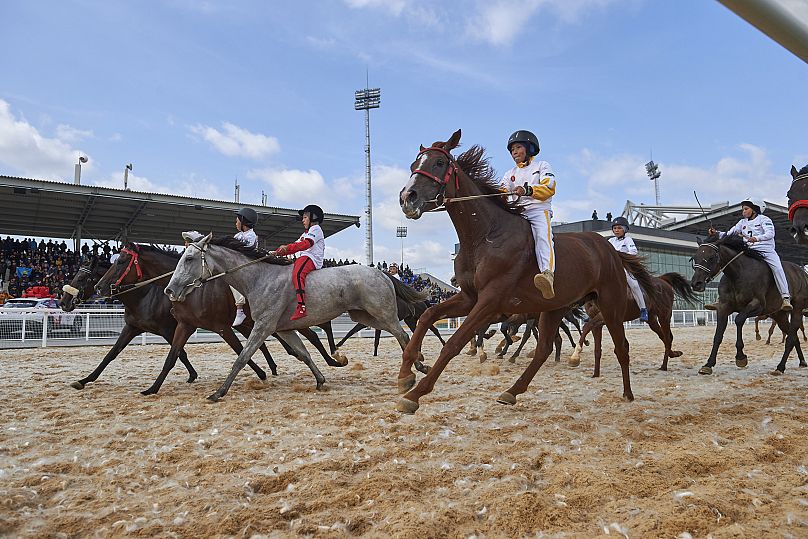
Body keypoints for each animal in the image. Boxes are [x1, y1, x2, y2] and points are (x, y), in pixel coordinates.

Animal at [60, 253, 274, 392]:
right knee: (260, 344)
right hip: (244, 323)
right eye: (75, 274)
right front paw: (85, 380)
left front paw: (192, 375)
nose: (63, 302)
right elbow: (111, 354)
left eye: (82, 277)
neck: (144, 294)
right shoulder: (132, 327)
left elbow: (180, 353)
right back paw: (271, 367)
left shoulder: (168, 329)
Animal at [91, 247, 340, 394]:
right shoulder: (182, 325)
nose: (99, 287)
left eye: (121, 261)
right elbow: (170, 356)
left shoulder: (221, 328)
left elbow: (240, 351)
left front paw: (258, 373)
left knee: (315, 335)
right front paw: (152, 387)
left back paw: (334, 359)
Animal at [164, 234, 430, 402]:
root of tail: (382, 273)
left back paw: (416, 368)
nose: (170, 290)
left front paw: (218, 392)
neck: (259, 278)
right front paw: (321, 379)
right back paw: (419, 362)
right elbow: (303, 354)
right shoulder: (283, 329)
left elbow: (241, 358)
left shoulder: (263, 327)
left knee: (402, 333)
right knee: (399, 334)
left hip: (383, 313)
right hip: (366, 316)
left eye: (189, 258)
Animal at [394, 131, 664, 414]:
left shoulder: (490, 301)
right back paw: (512, 391)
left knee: (621, 346)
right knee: (544, 348)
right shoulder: (469, 297)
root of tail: (609, 248)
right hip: (555, 307)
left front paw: (415, 394)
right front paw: (406, 374)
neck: (485, 236)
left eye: (438, 163)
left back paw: (628, 393)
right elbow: (427, 316)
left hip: (611, 304)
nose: (407, 197)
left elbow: (454, 343)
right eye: (414, 165)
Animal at [688, 234, 808, 378]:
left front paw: (740, 357)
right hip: (779, 315)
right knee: (793, 335)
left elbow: (739, 319)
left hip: (797, 310)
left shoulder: (757, 305)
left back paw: (780, 367)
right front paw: (708, 364)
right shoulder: (723, 308)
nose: (696, 284)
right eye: (695, 258)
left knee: (791, 337)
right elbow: (718, 335)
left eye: (711, 257)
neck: (738, 274)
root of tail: (802, 272)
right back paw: (802, 361)